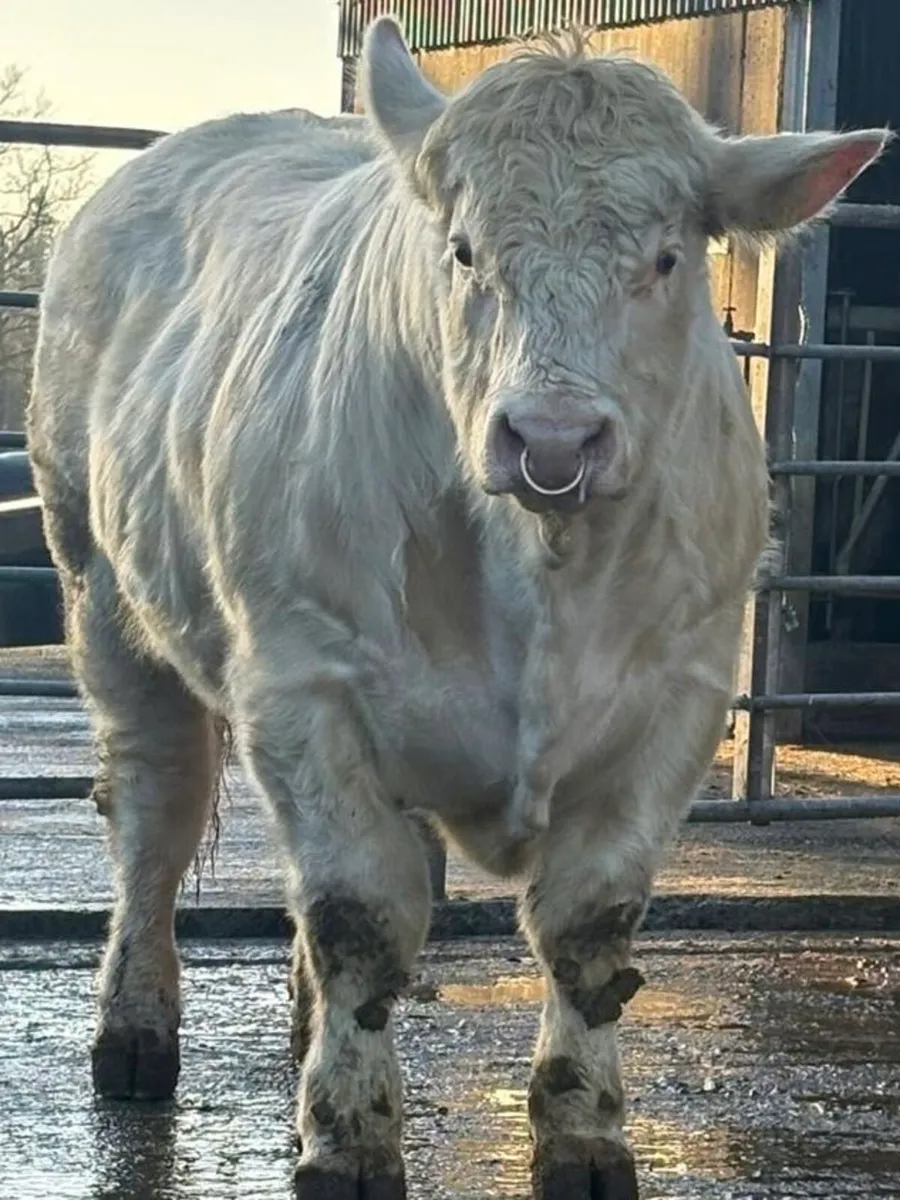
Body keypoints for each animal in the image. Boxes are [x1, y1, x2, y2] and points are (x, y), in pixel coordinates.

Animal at [28, 16, 887, 1199]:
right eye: (468, 250)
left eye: (666, 258)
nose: (553, 439)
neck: (540, 571)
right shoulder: (303, 682)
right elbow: (359, 916)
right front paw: (348, 1140)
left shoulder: (678, 698)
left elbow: (587, 930)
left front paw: (584, 1134)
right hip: (105, 601)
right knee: (155, 818)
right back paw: (136, 1032)